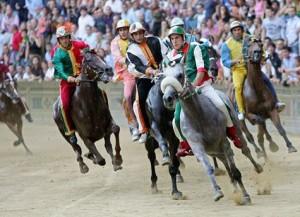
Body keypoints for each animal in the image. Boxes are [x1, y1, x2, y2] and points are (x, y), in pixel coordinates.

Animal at [161, 57, 262, 203]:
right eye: (163, 76)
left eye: (179, 75)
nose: (167, 98)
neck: (198, 116)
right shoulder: (198, 147)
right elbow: (209, 169)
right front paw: (218, 192)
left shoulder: (223, 142)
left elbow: (236, 171)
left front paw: (246, 196)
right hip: (213, 150)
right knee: (224, 161)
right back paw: (234, 187)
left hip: (235, 132)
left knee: (245, 150)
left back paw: (257, 167)